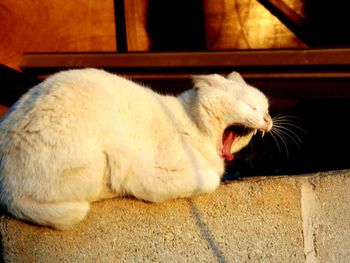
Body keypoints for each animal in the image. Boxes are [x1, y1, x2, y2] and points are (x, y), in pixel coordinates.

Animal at [0, 69, 272, 230]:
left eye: (267, 109)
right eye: (251, 107)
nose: (268, 120)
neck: (190, 122)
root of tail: (7, 194)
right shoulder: (149, 174)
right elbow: (209, 179)